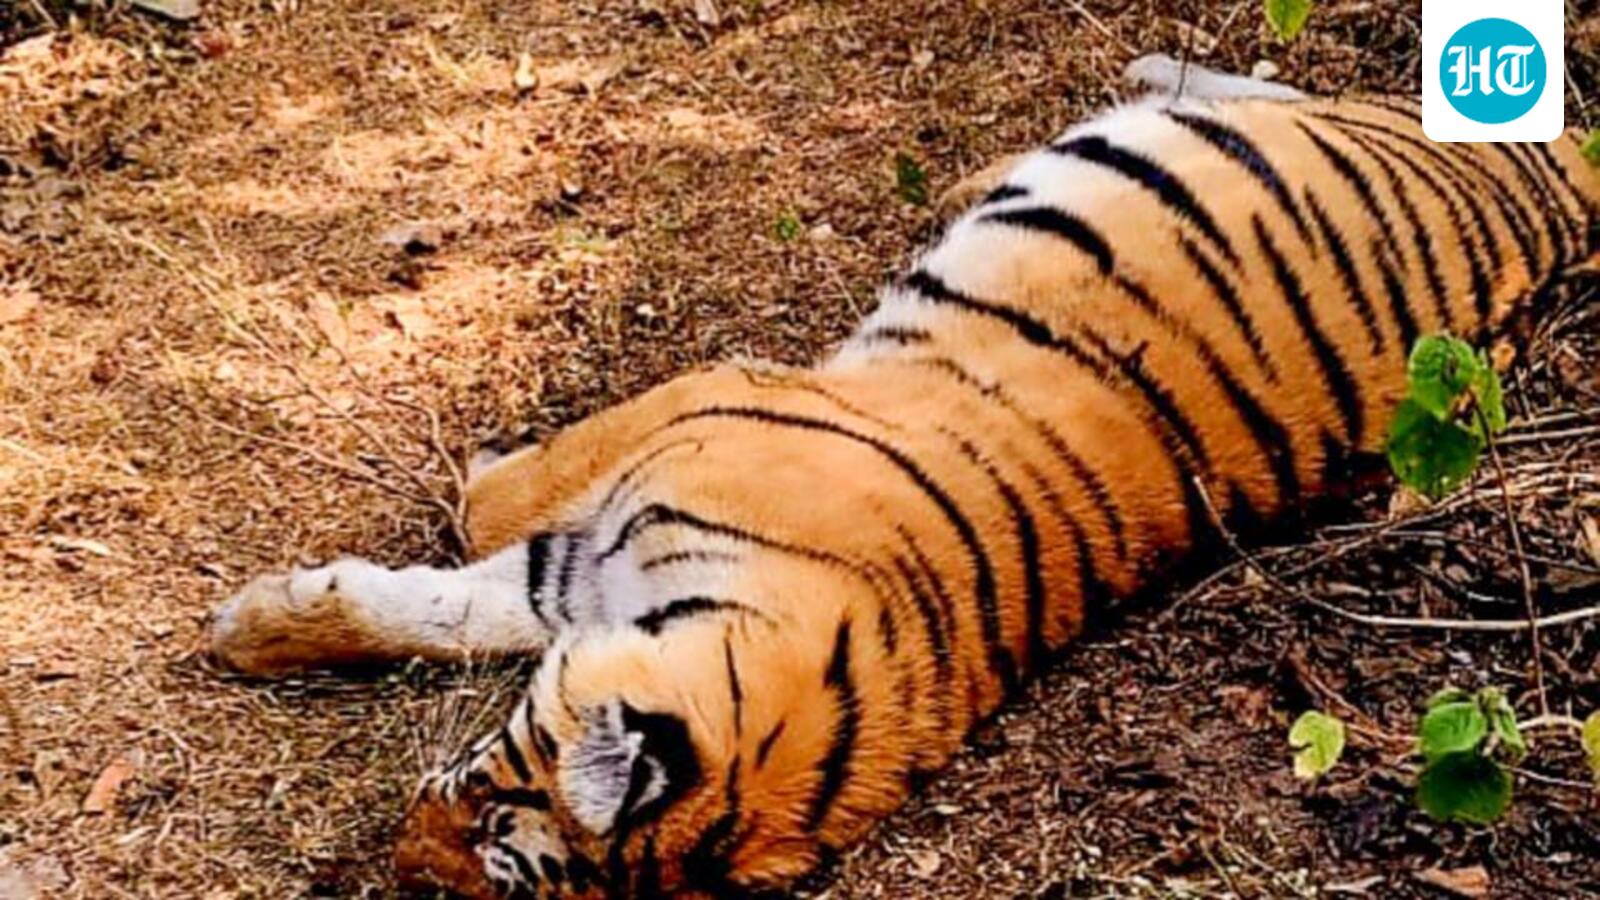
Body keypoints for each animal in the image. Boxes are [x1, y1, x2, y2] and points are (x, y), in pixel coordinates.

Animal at [207, 54, 1600, 899]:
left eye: (496, 842)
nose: (394, 858)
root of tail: (1570, 186)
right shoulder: (616, 524)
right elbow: (441, 587)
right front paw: (260, 632)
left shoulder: (633, 498)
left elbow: (472, 551)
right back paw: (1135, 78)